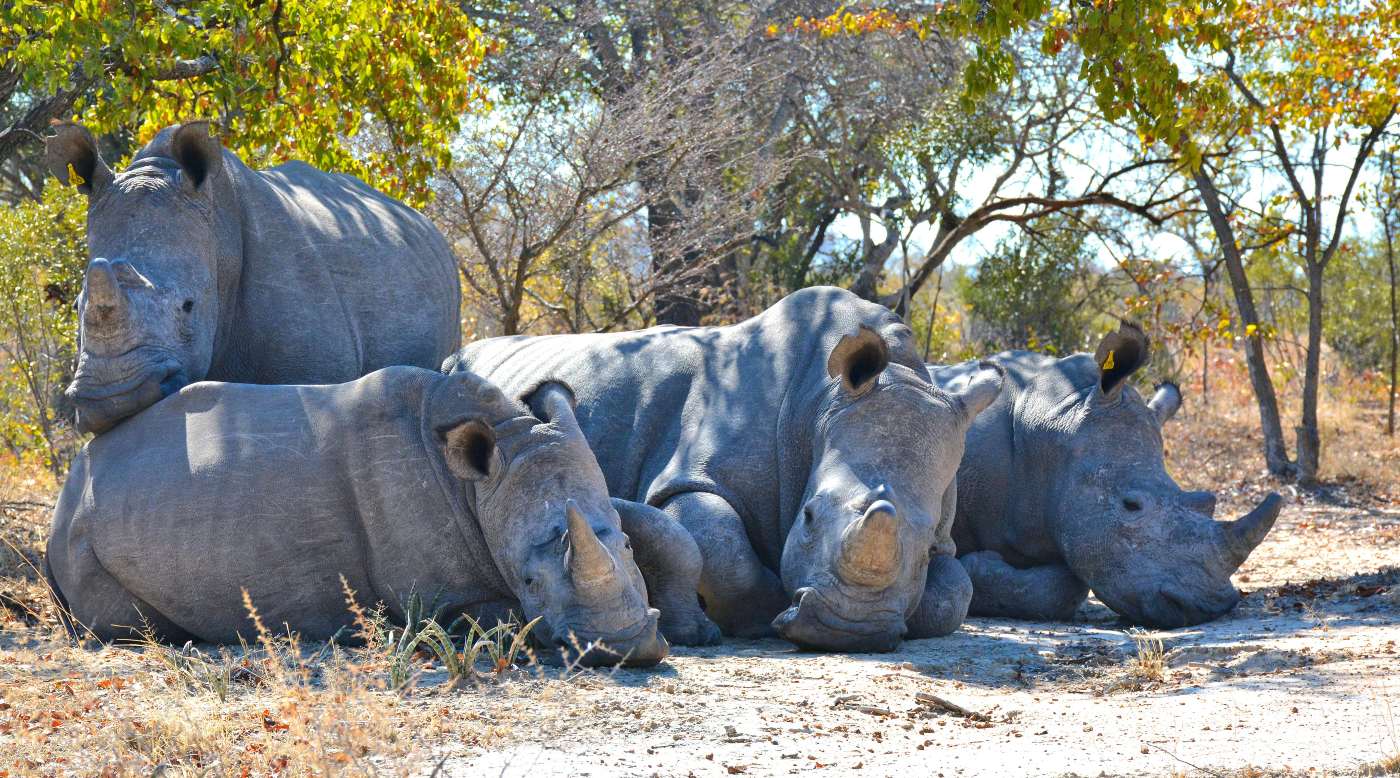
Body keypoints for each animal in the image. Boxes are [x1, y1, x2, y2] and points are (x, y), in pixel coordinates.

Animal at [45, 366, 669, 667]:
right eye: (531, 580)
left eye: (628, 549)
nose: (625, 647)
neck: (478, 485)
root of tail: (70, 483)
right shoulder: (441, 597)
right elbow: (500, 617)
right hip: (79, 534)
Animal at [446, 287, 1004, 652]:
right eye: (808, 517)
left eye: (927, 543)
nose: (848, 631)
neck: (823, 402)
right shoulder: (691, 474)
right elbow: (721, 548)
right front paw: (758, 618)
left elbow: (955, 593)